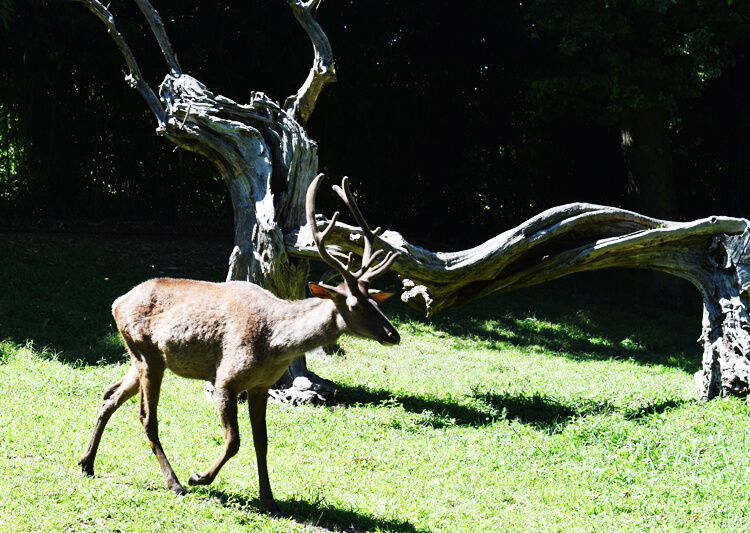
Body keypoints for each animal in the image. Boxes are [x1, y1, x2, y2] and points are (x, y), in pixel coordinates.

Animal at [79, 174, 402, 516]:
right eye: (354, 305)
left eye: (376, 302)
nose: (393, 334)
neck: (274, 345)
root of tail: (116, 302)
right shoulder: (225, 378)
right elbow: (234, 440)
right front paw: (200, 477)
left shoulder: (261, 385)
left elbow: (263, 441)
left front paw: (269, 499)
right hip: (147, 354)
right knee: (146, 416)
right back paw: (175, 483)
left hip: (142, 358)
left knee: (110, 395)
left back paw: (87, 463)